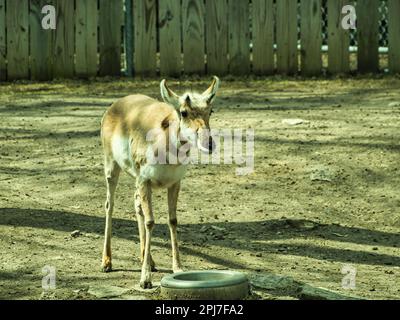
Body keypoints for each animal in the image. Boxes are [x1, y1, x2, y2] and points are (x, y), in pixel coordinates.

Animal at [99, 76, 219, 288]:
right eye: (183, 112)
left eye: (210, 110)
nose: (209, 144)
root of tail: (116, 104)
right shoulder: (145, 181)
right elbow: (150, 222)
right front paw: (145, 279)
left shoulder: (174, 183)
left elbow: (172, 220)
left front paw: (178, 268)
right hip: (112, 168)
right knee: (109, 205)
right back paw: (107, 262)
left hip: (136, 181)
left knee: (136, 204)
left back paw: (148, 260)